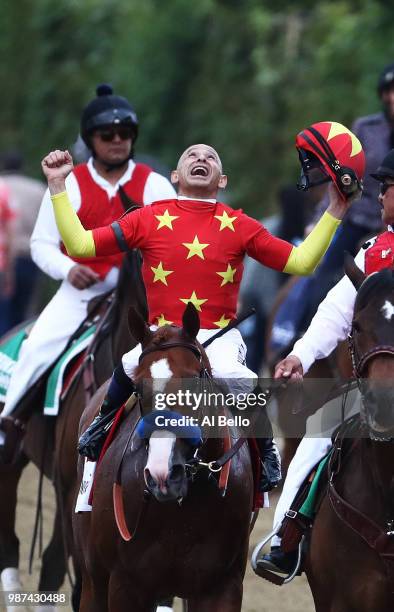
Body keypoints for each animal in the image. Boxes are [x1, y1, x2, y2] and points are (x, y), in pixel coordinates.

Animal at [73, 304, 252, 612]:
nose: (162, 473)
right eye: (137, 388)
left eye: (192, 383)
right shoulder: (125, 584)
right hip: (94, 577)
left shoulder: (223, 586)